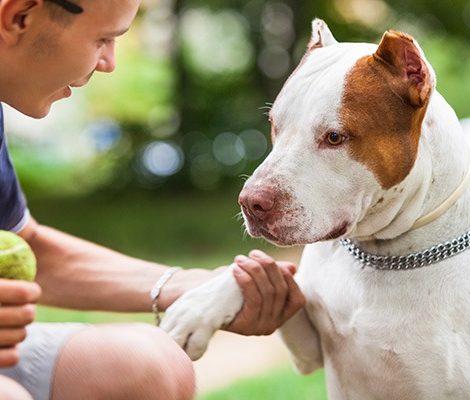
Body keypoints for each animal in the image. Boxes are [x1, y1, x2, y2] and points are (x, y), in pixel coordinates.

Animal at [162, 19, 470, 400]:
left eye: (335, 137)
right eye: (275, 125)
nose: (251, 202)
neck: (382, 255)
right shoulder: (309, 349)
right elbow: (276, 278)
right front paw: (198, 307)